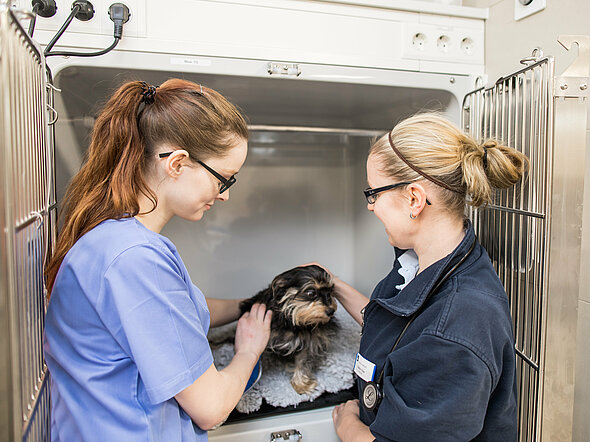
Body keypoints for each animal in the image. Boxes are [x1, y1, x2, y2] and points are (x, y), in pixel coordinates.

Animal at [240, 264, 340, 396]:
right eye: (311, 293)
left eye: (330, 292)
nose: (331, 311)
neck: (294, 323)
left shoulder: (308, 343)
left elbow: (302, 361)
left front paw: (301, 384)